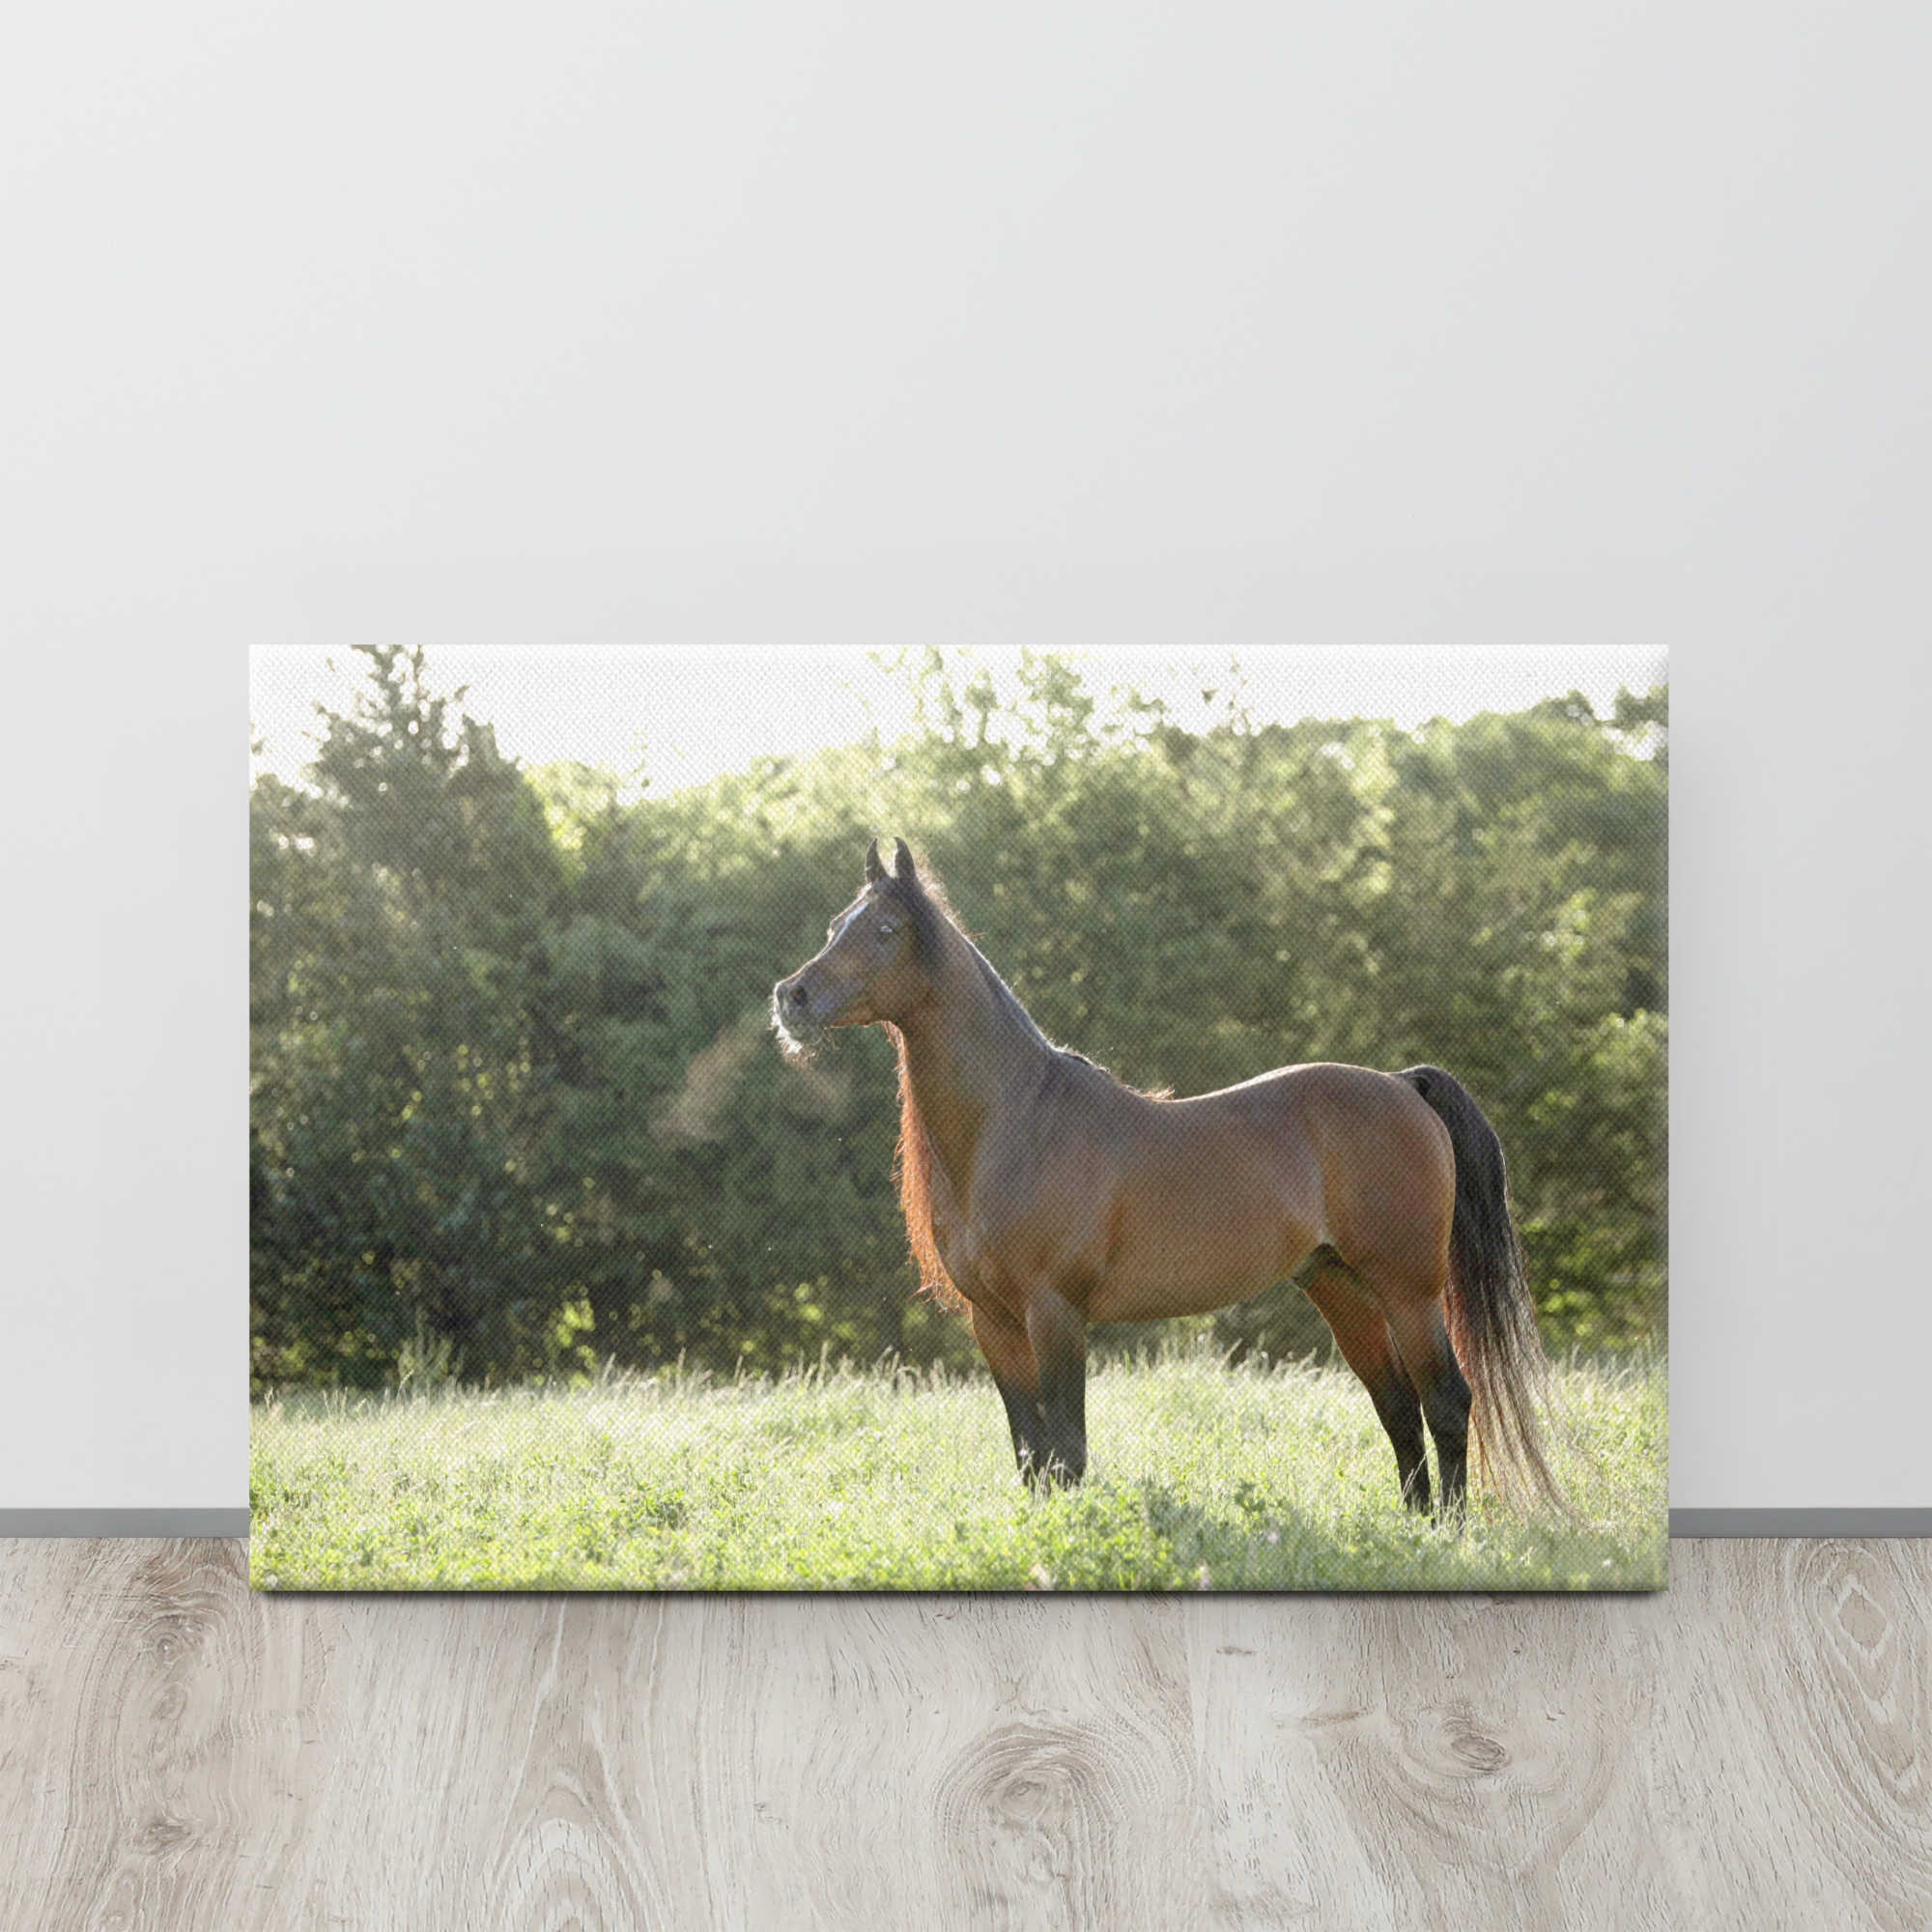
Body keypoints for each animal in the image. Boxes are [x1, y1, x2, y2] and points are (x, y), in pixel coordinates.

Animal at [772, 837, 1561, 1519]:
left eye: (885, 928)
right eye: (836, 924)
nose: (792, 997)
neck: (1017, 1124)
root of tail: (1402, 1085)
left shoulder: (1055, 1312)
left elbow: (1067, 1452)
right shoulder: (992, 1323)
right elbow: (1031, 1454)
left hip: (1408, 1290)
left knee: (1447, 1403)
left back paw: (1451, 1530)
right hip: (1340, 1287)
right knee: (1398, 1409)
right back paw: (1416, 1525)